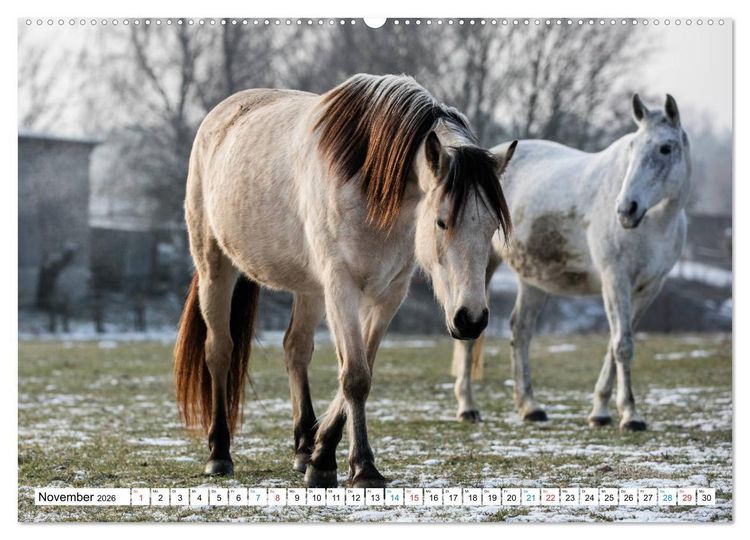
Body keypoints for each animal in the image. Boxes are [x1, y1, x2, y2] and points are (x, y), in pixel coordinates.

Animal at [173, 74, 514, 488]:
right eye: (441, 221)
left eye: (493, 226)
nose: (471, 319)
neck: (369, 180)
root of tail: (220, 116)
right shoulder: (341, 287)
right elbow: (354, 376)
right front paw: (361, 468)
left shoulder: (388, 294)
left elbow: (360, 367)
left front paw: (322, 455)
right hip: (216, 267)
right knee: (219, 350)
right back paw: (219, 453)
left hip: (309, 289)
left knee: (295, 349)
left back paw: (303, 447)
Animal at [451, 94, 690, 430]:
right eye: (632, 147)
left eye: (665, 148)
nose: (626, 209)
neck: (656, 222)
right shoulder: (615, 280)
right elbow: (623, 345)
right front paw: (629, 415)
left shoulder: (648, 289)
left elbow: (616, 343)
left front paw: (601, 411)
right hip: (482, 268)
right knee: (472, 334)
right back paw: (467, 407)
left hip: (533, 281)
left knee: (521, 330)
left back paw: (530, 407)